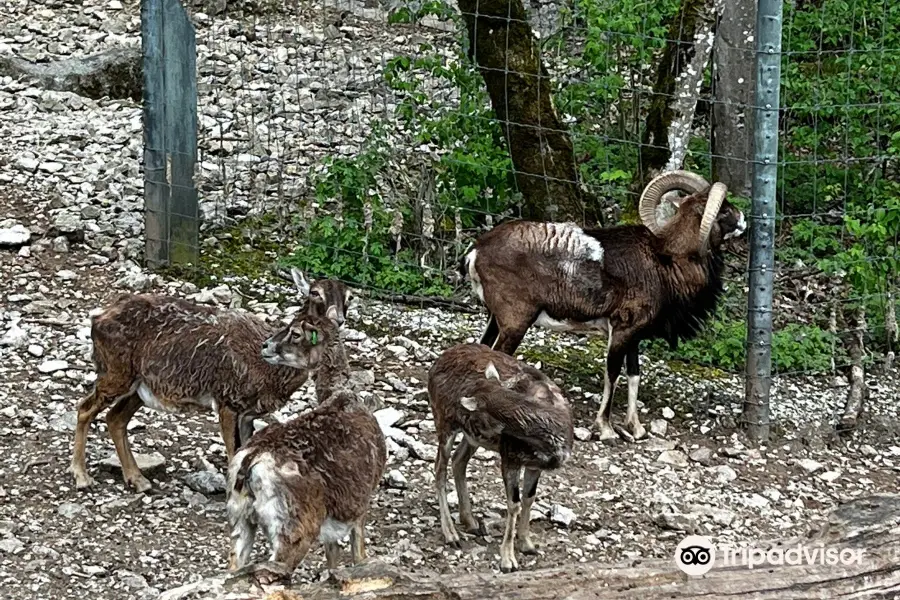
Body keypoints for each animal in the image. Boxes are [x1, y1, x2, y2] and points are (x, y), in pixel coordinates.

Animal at [69, 268, 352, 492]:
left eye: (348, 297)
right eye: (314, 292)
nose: (337, 319)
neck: (267, 369)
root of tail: (97, 319)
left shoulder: (248, 412)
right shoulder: (228, 400)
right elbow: (233, 452)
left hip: (140, 387)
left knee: (115, 418)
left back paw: (137, 479)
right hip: (115, 372)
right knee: (85, 407)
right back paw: (82, 476)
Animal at [227, 312, 384, 580]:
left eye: (295, 333)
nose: (265, 346)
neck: (342, 394)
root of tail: (251, 462)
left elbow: (332, 557)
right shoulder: (360, 508)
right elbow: (358, 554)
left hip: (241, 520)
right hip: (293, 530)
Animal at [428, 342, 568, 572]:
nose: (459, 406)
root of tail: (436, 363)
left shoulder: (535, 464)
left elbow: (529, 498)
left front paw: (527, 544)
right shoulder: (510, 455)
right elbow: (514, 504)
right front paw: (508, 560)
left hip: (472, 438)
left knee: (459, 460)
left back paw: (471, 522)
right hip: (443, 420)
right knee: (439, 469)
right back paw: (451, 534)